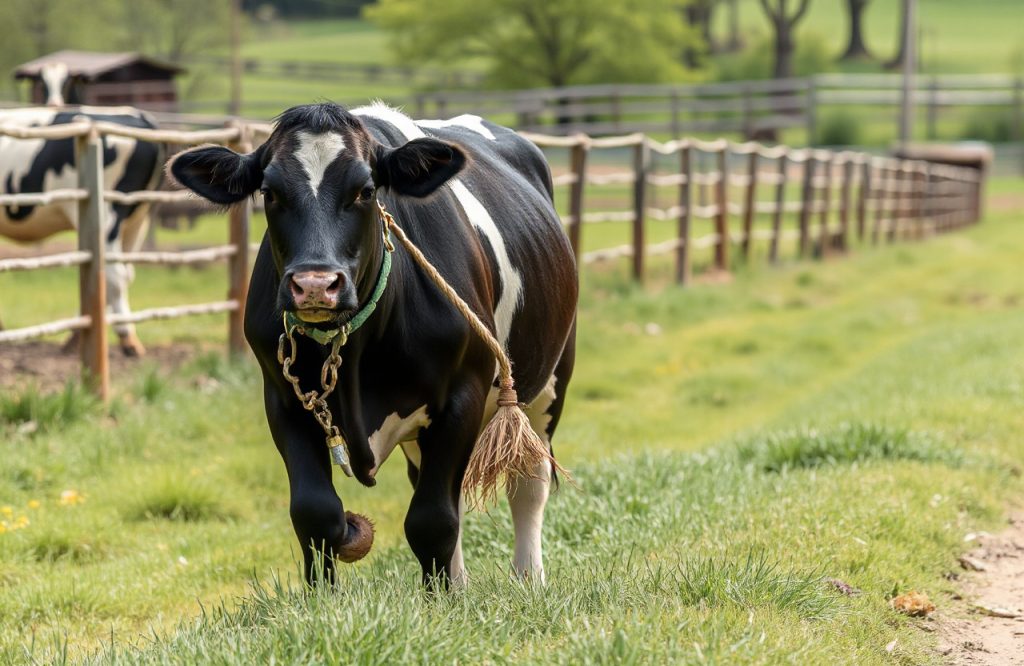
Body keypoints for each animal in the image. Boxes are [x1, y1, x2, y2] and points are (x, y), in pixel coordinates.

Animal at [0, 106, 165, 355]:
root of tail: (137, 116)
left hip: (108, 216)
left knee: (114, 275)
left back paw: (126, 340)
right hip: (137, 218)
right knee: (121, 274)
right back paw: (78, 337)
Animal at [169, 102, 578, 587]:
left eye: (365, 191)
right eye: (269, 191)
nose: (315, 285)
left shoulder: (463, 393)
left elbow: (431, 520)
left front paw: (439, 599)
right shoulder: (284, 398)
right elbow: (316, 514)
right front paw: (325, 597)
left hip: (548, 382)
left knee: (529, 479)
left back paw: (528, 580)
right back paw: (461, 582)